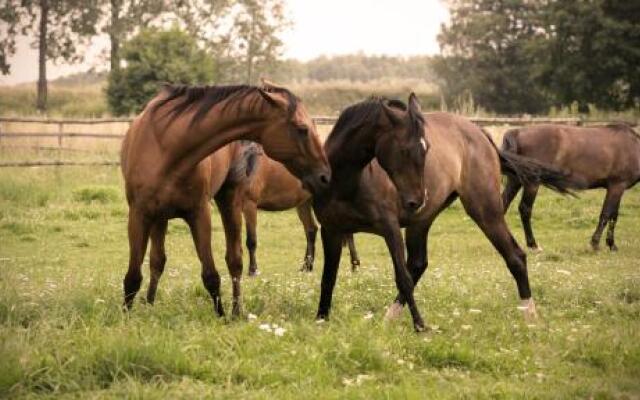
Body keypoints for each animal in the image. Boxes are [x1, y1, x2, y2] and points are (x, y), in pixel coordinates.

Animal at [119, 83, 330, 318]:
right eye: (302, 129)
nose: (324, 176)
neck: (167, 147)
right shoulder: (139, 214)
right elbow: (133, 275)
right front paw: (127, 316)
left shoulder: (200, 213)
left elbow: (211, 274)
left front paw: (220, 316)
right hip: (160, 217)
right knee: (158, 260)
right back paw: (149, 303)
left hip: (230, 202)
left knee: (234, 260)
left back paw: (236, 311)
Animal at [312, 97, 572, 332]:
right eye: (405, 150)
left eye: (426, 149)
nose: (417, 200)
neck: (347, 180)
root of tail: (481, 134)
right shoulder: (331, 230)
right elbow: (328, 277)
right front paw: (321, 320)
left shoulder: (390, 228)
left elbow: (402, 277)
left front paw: (420, 326)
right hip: (422, 221)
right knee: (418, 264)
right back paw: (388, 318)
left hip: (484, 210)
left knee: (515, 257)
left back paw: (530, 316)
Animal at [502, 123, 636, 252]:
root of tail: (517, 132)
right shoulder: (617, 186)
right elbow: (606, 214)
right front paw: (595, 244)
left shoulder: (617, 188)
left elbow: (614, 216)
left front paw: (612, 245)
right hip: (532, 182)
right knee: (525, 209)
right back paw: (533, 245)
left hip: (515, 180)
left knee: (503, 203)